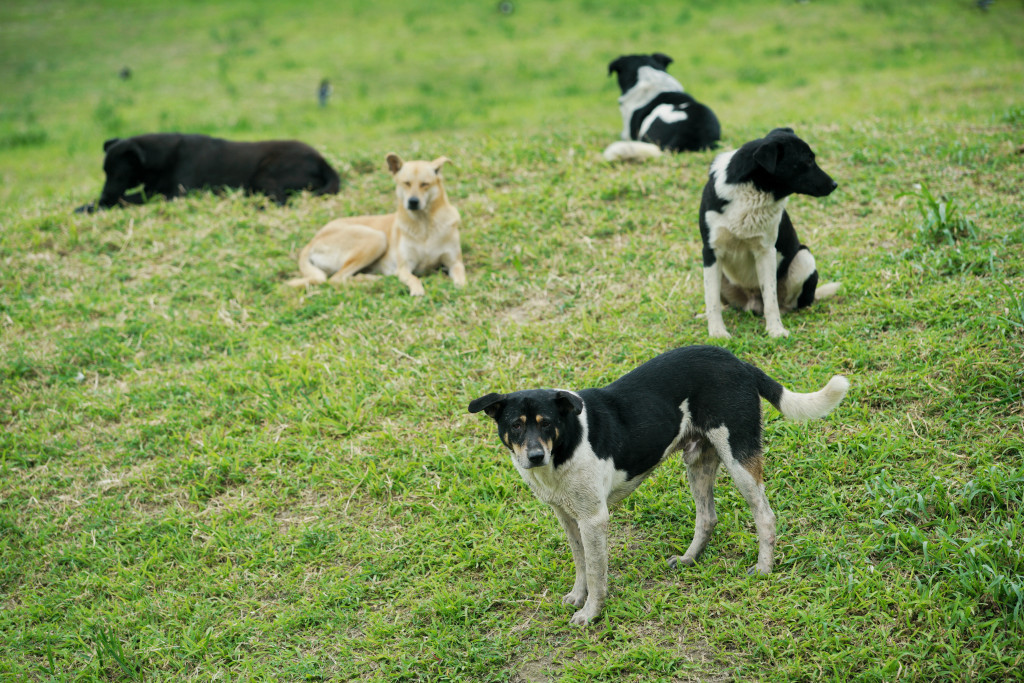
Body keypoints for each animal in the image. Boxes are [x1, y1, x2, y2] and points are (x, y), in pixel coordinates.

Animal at [74, 132, 344, 210]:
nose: (103, 197)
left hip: (264, 174)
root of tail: (322, 160)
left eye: (118, 174)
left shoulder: (174, 193)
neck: (162, 158)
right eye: (104, 172)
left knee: (282, 200)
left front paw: (94, 207)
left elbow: (127, 198)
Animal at [286, 153, 466, 294]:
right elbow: (414, 278)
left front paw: (461, 286)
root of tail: (312, 241)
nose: (413, 202)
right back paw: (374, 280)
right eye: (406, 183)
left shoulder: (454, 262)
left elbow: (461, 277)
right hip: (376, 238)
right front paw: (417, 290)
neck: (425, 225)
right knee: (337, 279)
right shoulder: (404, 268)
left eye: (425, 184)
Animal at [468, 348, 847, 626]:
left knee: (765, 516)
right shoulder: (567, 516)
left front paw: (591, 613)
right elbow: (580, 562)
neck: (564, 447)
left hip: (739, 459)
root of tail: (737, 361)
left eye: (546, 423)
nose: (534, 456)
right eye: (515, 426)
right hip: (698, 462)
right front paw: (578, 596)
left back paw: (764, 569)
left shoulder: (594, 519)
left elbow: (596, 571)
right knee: (707, 517)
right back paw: (690, 558)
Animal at [700, 126, 843, 339]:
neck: (752, 192)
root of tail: (751, 302)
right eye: (808, 160)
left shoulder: (766, 251)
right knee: (722, 301)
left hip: (804, 258)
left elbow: (770, 298)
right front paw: (717, 332)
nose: (834, 184)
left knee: (787, 303)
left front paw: (775, 330)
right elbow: (712, 300)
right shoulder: (711, 251)